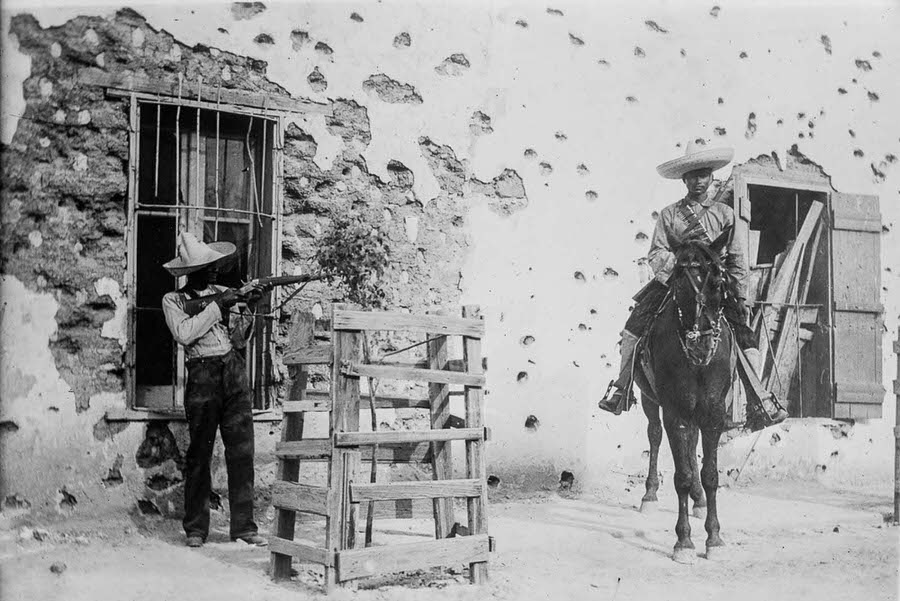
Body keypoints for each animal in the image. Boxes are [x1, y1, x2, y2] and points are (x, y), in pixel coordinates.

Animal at [636, 236, 736, 564]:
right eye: (678, 278)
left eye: (716, 280)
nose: (699, 343)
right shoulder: (675, 412)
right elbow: (681, 474)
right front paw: (684, 542)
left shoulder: (714, 413)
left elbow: (710, 474)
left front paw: (714, 538)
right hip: (649, 399)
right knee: (655, 435)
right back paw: (650, 494)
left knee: (692, 448)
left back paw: (699, 500)